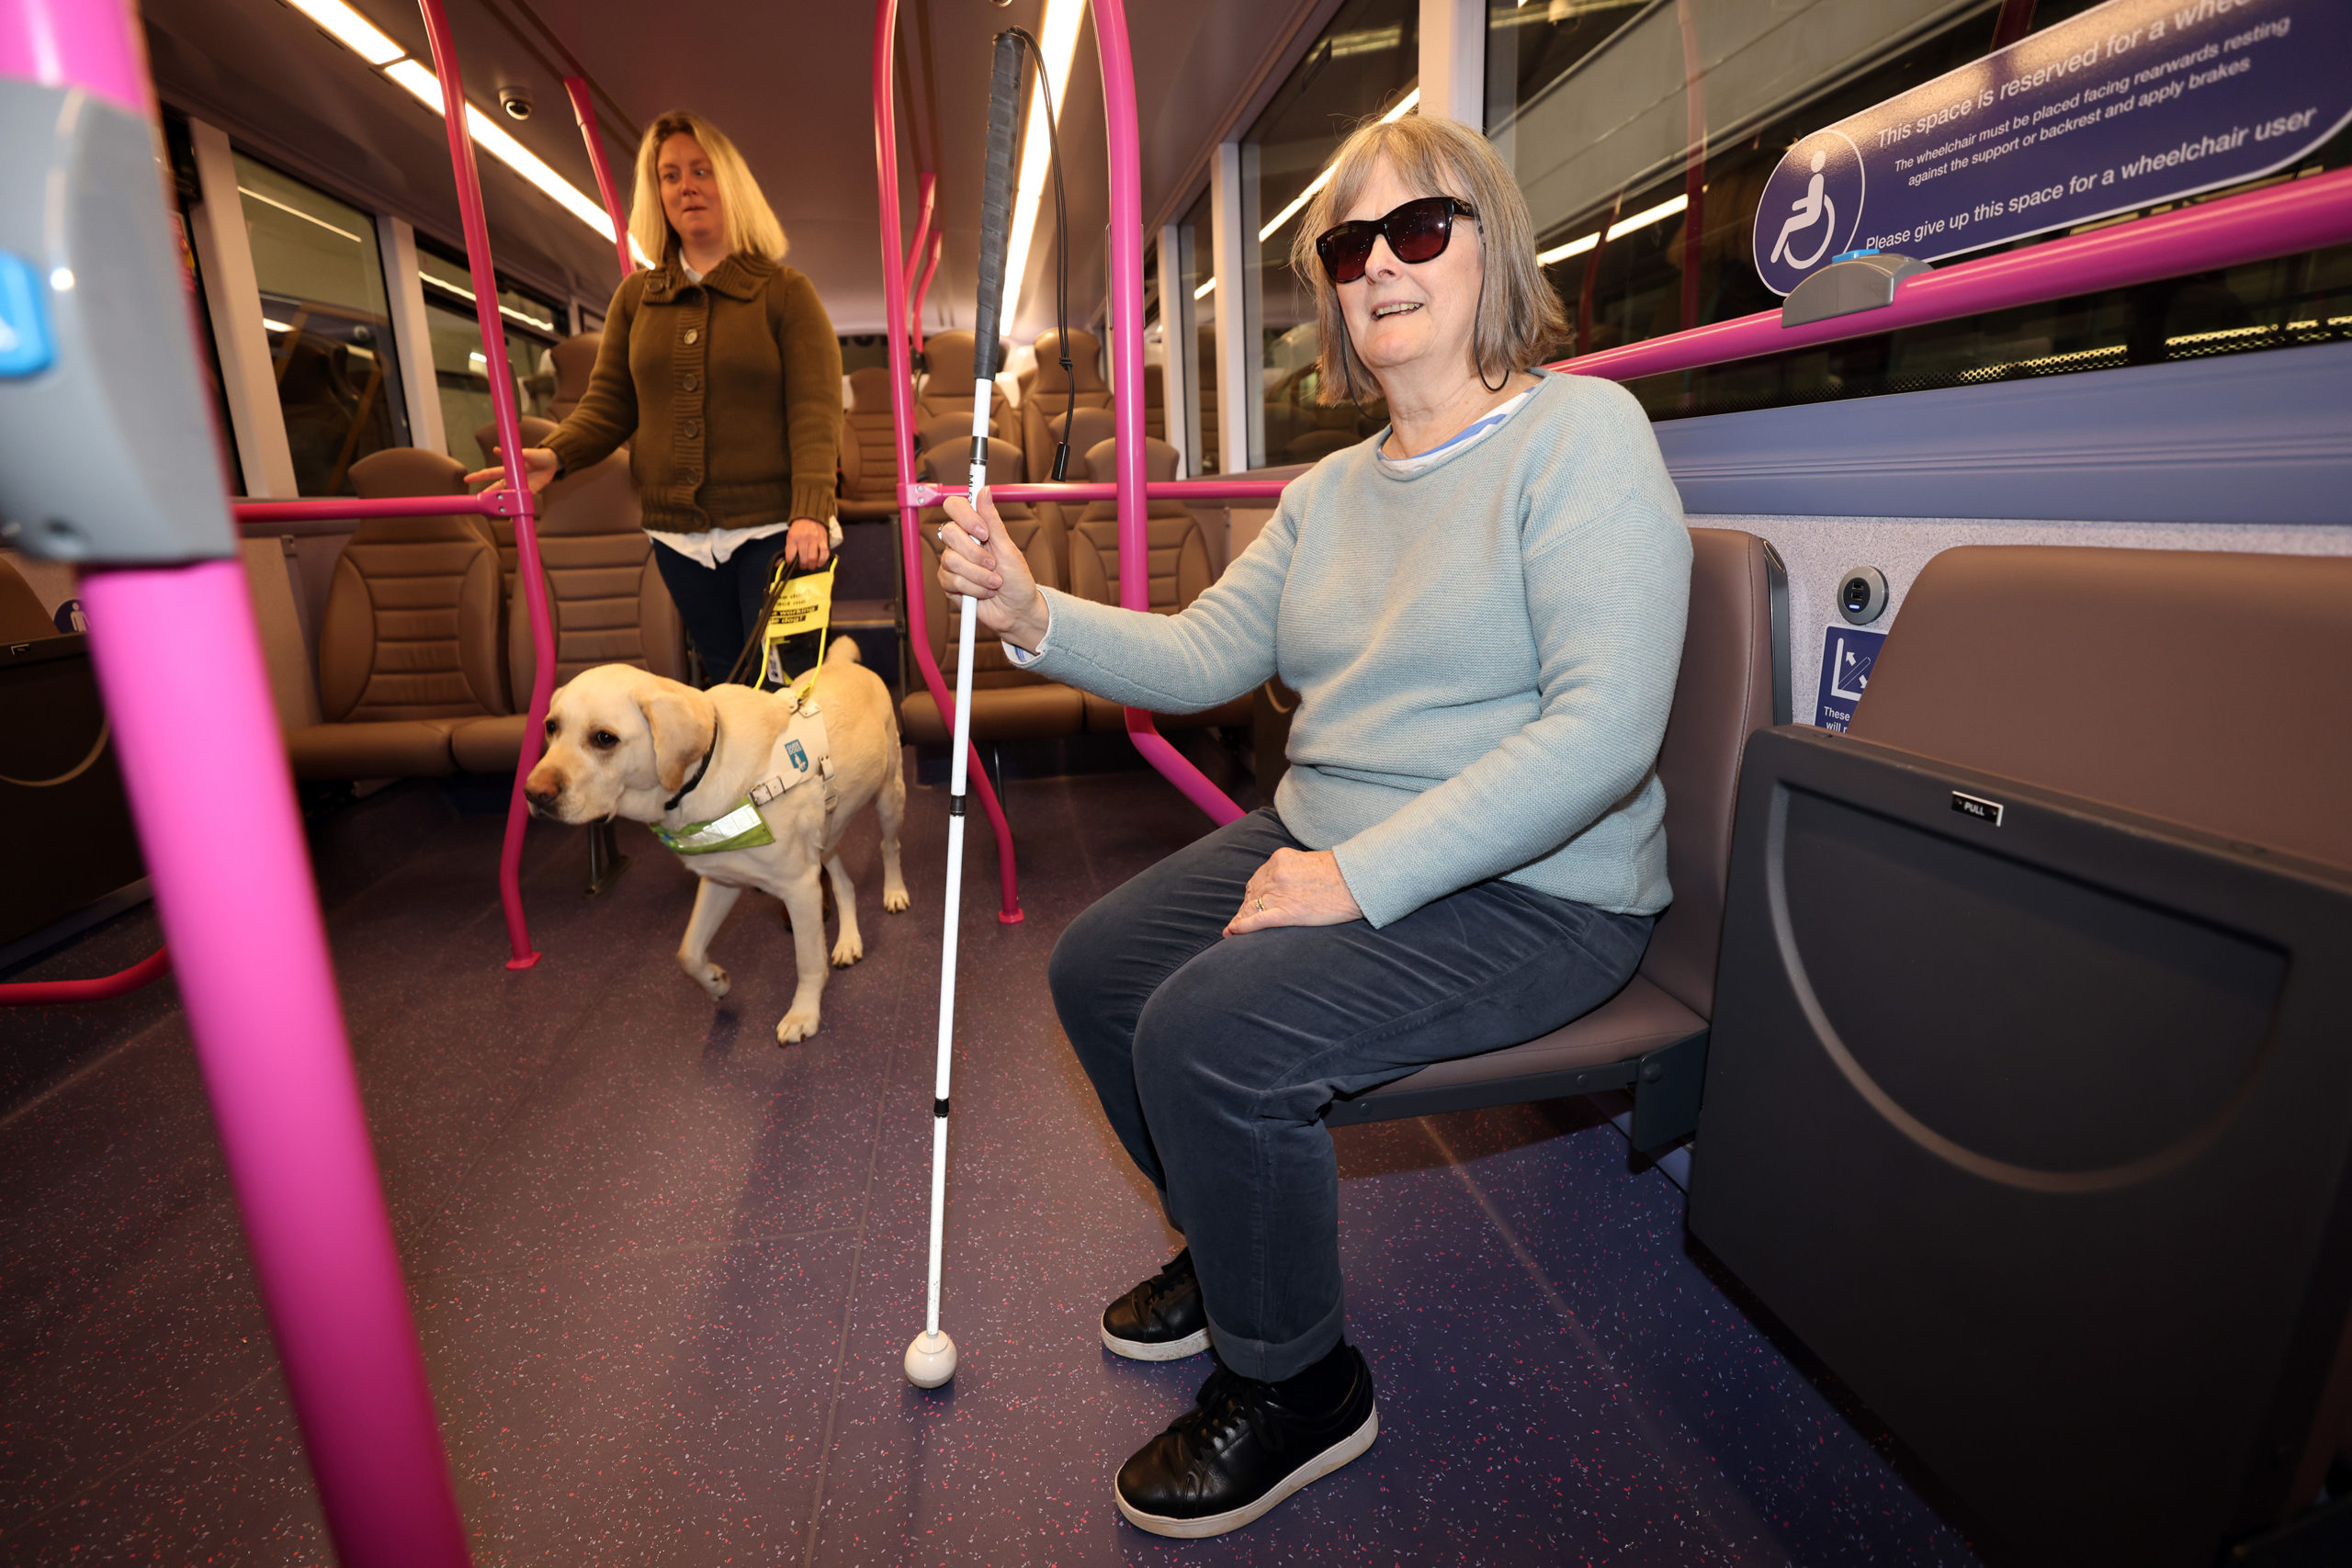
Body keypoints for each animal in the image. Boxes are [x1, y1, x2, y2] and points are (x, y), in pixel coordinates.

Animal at [524, 644, 908, 1048]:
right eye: (551, 727)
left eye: (604, 738)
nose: (533, 794)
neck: (705, 770)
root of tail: (841, 663)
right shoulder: (722, 879)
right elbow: (688, 951)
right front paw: (715, 982)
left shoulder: (800, 887)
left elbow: (807, 962)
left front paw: (803, 1014)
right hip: (827, 832)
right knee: (844, 885)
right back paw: (848, 941)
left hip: (888, 797)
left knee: (889, 847)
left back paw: (895, 892)